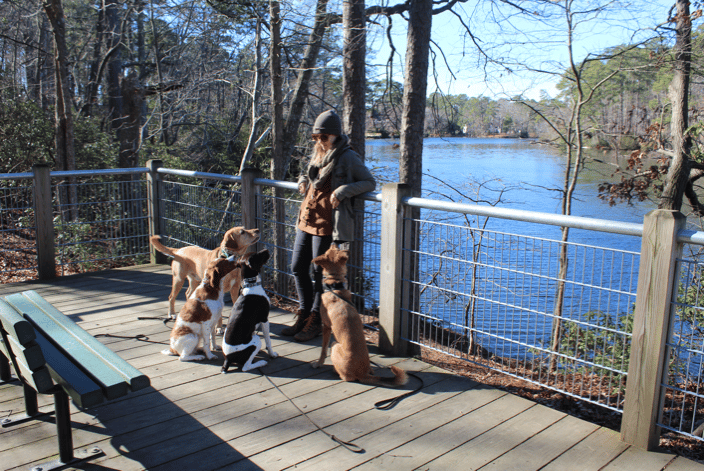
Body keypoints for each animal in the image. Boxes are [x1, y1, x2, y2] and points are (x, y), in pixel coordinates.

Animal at [312, 245, 408, 386]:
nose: (337, 242)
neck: (335, 287)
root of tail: (362, 373)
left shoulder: (326, 326)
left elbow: (323, 350)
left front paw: (318, 363)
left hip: (335, 345)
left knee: (346, 377)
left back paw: (336, 371)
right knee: (369, 369)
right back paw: (371, 370)